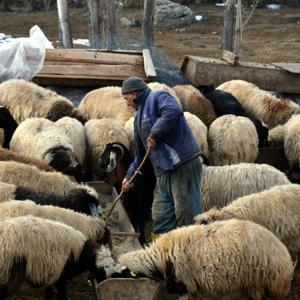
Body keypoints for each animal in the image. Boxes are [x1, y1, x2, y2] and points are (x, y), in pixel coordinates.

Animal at [0, 216, 132, 300]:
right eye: (100, 272)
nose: (101, 288)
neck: (80, 253)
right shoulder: (61, 276)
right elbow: (62, 295)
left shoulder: (51, 275)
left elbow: (49, 294)